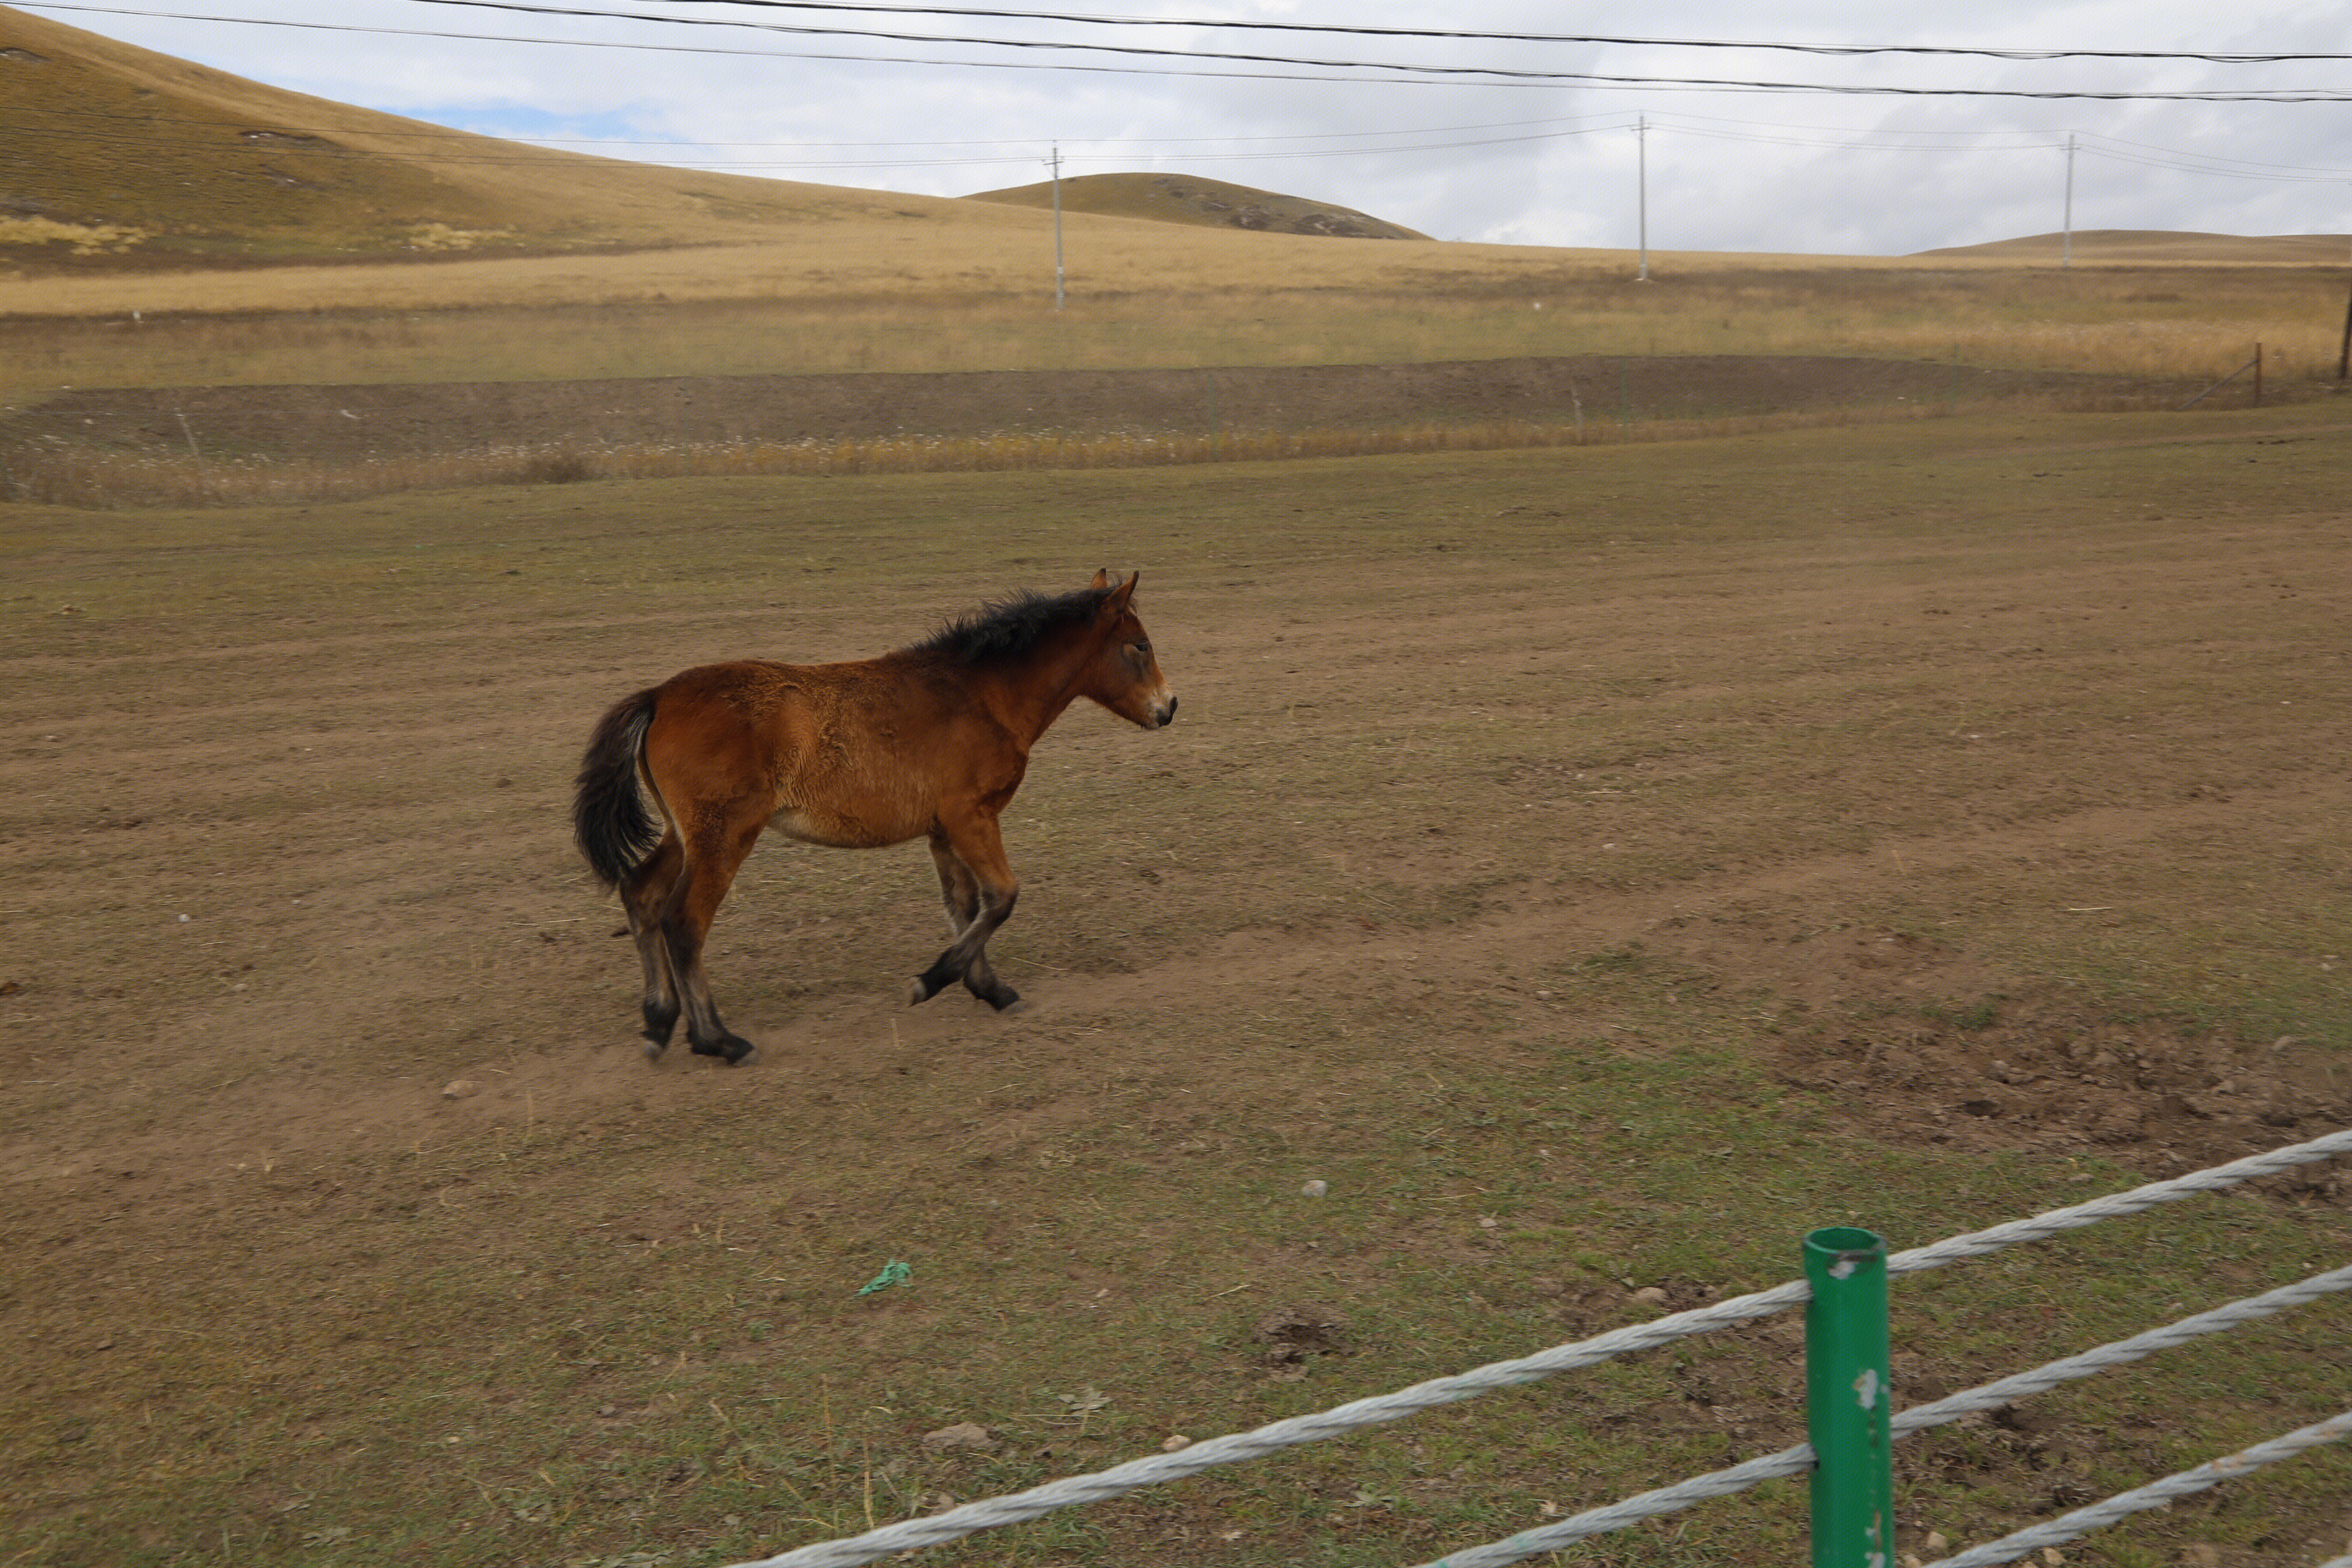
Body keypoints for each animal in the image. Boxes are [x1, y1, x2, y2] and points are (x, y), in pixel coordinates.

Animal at [571, 570, 1177, 1066]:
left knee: (642, 896)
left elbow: (966, 908)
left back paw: (659, 1023)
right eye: (1139, 646)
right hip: (724, 838)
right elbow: (1002, 898)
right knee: (684, 923)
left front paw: (988, 989)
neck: (982, 694)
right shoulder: (971, 817)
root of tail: (658, 696)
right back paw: (718, 1041)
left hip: (686, 836)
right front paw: (930, 981)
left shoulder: (943, 832)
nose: (1169, 707)